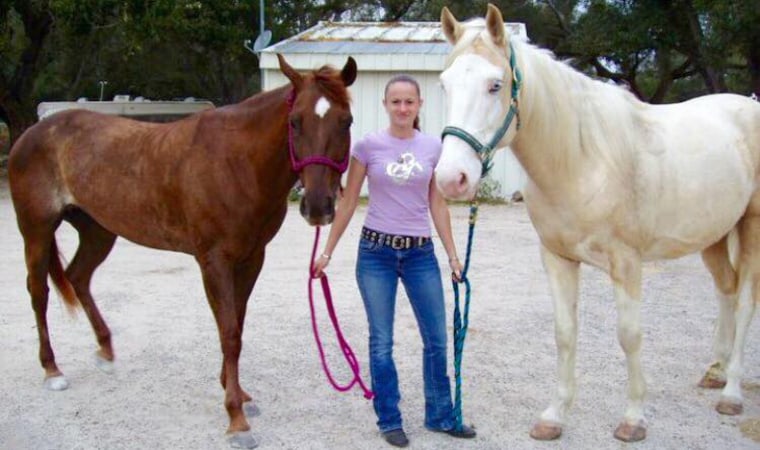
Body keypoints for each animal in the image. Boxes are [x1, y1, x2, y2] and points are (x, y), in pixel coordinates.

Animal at [8, 53, 358, 446]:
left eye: (346, 121)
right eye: (295, 122)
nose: (318, 207)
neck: (238, 163)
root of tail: (32, 134)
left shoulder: (252, 258)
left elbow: (237, 323)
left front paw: (238, 394)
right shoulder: (213, 261)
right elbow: (228, 333)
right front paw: (236, 418)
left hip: (98, 231)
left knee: (77, 276)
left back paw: (105, 350)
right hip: (36, 230)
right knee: (39, 292)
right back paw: (52, 370)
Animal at [436, 2, 760, 446]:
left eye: (494, 85)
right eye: (445, 84)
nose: (451, 178)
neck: (583, 160)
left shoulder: (626, 262)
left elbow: (629, 335)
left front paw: (633, 419)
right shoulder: (556, 258)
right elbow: (564, 333)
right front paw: (554, 417)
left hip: (751, 226)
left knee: (744, 301)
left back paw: (731, 392)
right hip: (713, 233)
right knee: (726, 290)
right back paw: (716, 371)